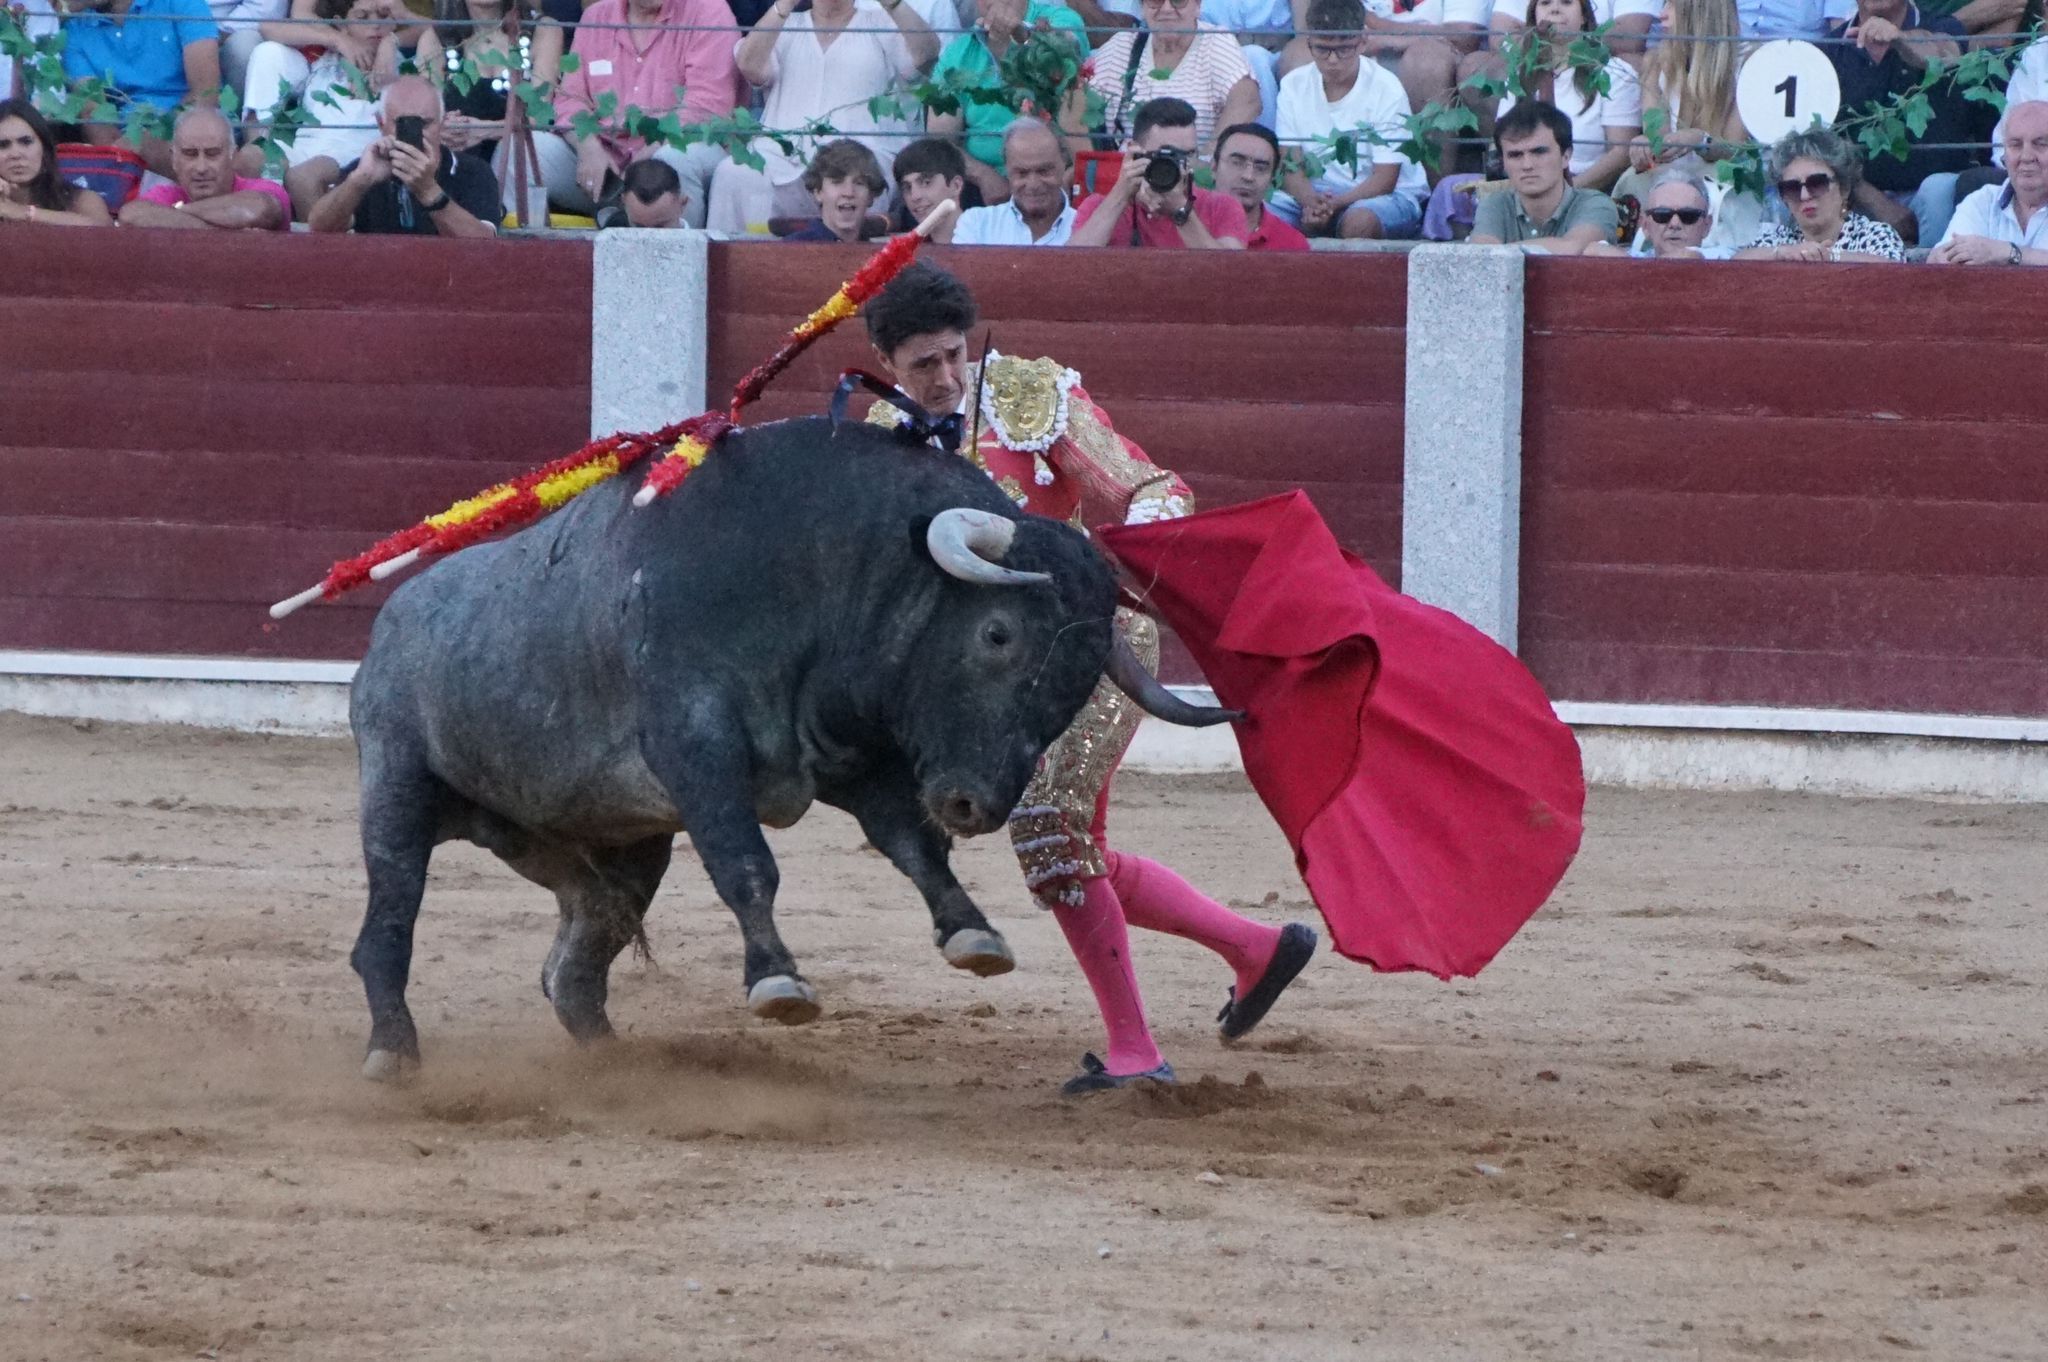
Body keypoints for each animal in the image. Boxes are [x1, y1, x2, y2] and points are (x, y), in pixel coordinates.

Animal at [348, 419, 1228, 1081]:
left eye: (1081, 681)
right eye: (997, 634)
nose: (974, 804)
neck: (823, 571)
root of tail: (389, 622)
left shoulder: (858, 758)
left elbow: (915, 849)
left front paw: (972, 935)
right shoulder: (696, 751)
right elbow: (748, 865)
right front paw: (778, 981)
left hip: (608, 844)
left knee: (576, 961)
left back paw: (609, 1065)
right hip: (397, 785)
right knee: (388, 923)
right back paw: (392, 1054)